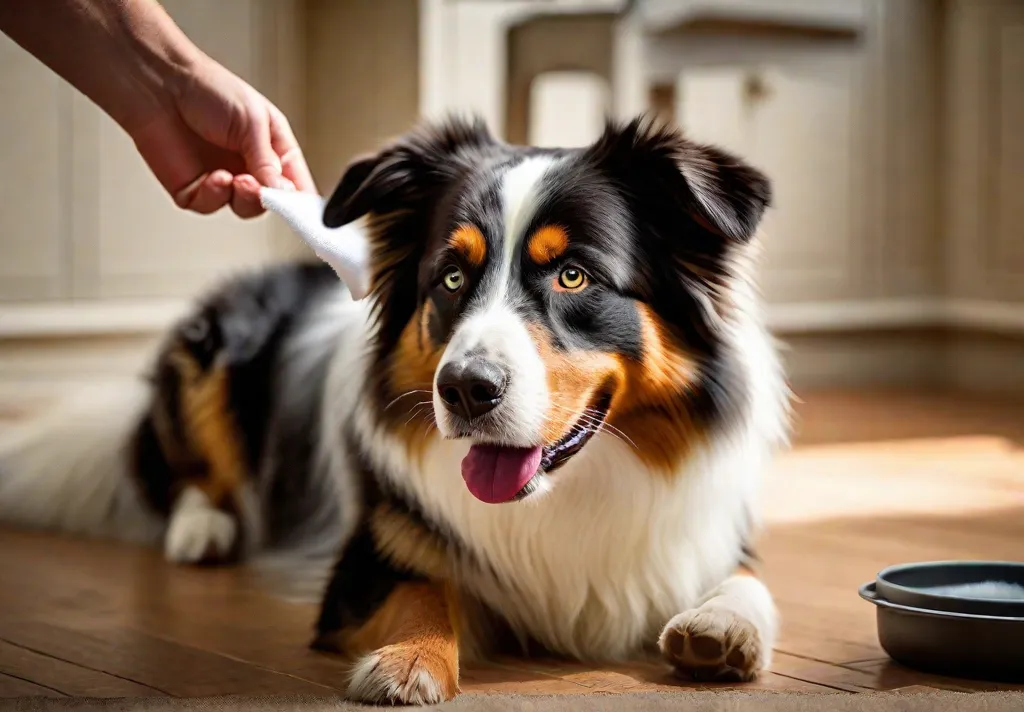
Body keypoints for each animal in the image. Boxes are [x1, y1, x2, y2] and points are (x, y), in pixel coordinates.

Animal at [0, 115, 786, 700]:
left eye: (573, 276)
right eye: (452, 277)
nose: (465, 388)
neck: (562, 494)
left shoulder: (708, 531)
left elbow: (750, 580)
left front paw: (722, 628)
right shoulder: (367, 557)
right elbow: (423, 587)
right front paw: (408, 661)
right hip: (211, 346)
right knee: (188, 473)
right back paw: (204, 530)